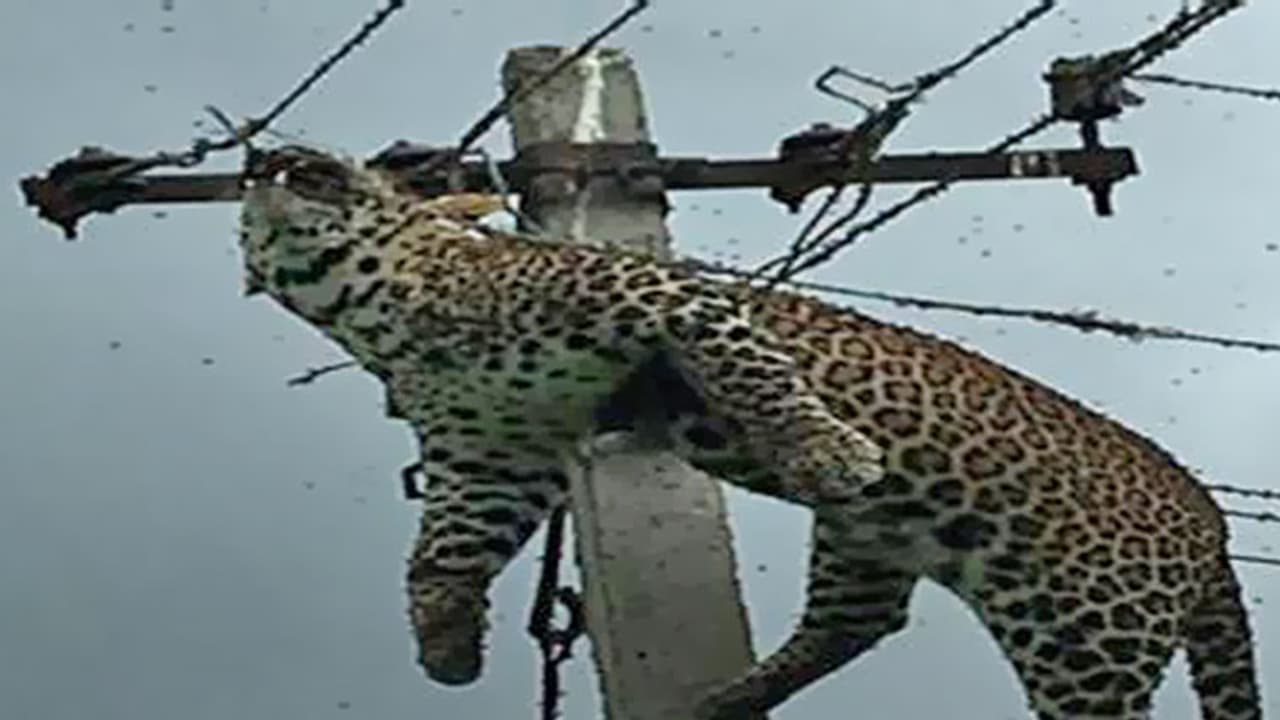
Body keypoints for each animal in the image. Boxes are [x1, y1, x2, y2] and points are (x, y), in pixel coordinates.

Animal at [237, 145, 1262, 719]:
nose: (272, 159)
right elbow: (439, 556)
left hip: (1091, 634)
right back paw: (726, 700)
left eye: (313, 163)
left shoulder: (658, 296)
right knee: (858, 620)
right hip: (875, 541)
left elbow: (755, 369)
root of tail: (1208, 520)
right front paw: (447, 648)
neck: (377, 307)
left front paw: (827, 447)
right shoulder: (489, 455)